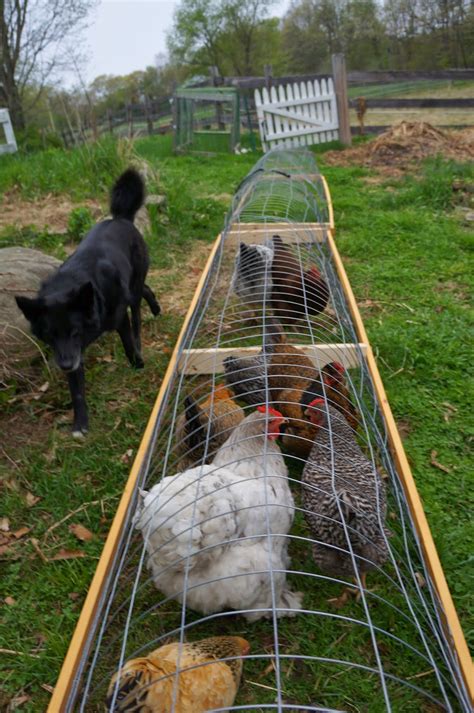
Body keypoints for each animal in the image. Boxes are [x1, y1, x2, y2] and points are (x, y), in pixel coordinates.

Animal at [15, 170, 161, 436]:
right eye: (50, 335)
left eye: (75, 331)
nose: (64, 365)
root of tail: (120, 219)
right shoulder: (71, 352)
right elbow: (77, 391)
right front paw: (80, 424)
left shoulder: (116, 321)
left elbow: (128, 345)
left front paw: (138, 365)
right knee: (145, 289)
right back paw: (155, 309)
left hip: (133, 291)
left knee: (137, 311)